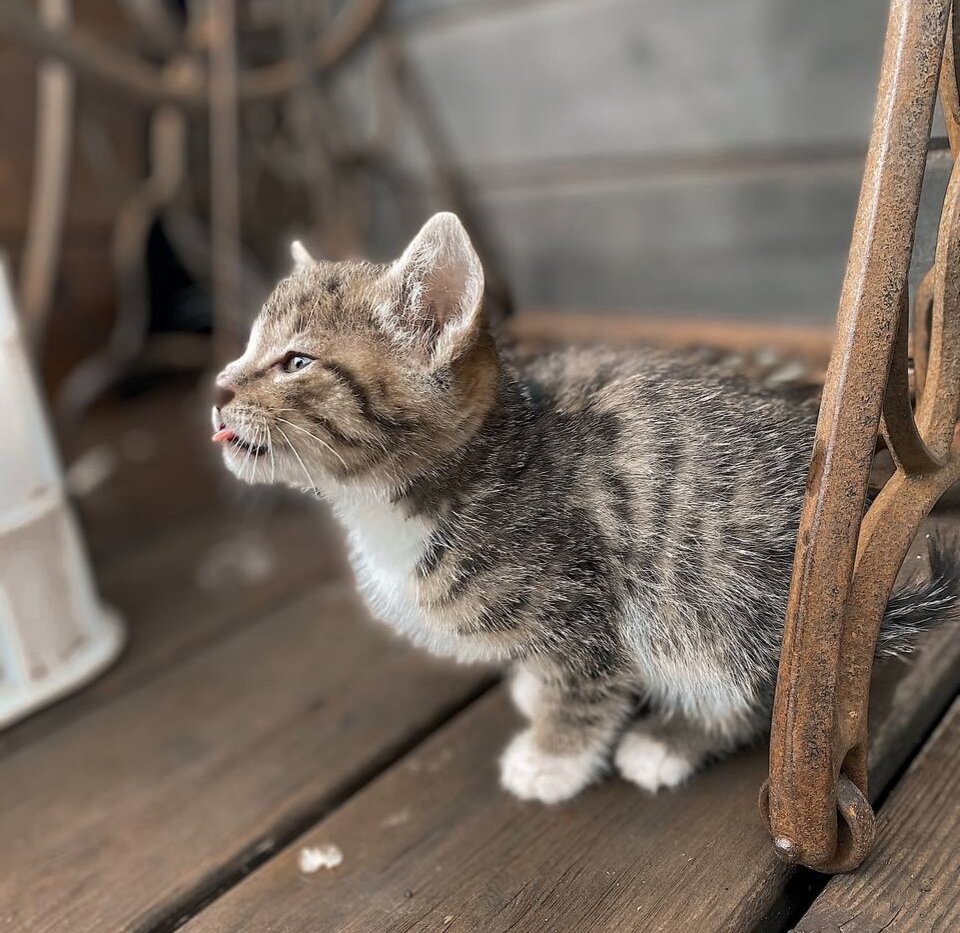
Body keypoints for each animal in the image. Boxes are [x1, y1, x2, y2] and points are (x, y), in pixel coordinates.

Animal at [212, 211, 960, 800]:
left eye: (296, 362)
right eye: (247, 347)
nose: (218, 389)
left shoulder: (583, 605)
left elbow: (583, 684)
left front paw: (553, 757)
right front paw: (530, 692)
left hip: (710, 590)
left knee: (762, 692)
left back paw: (671, 739)